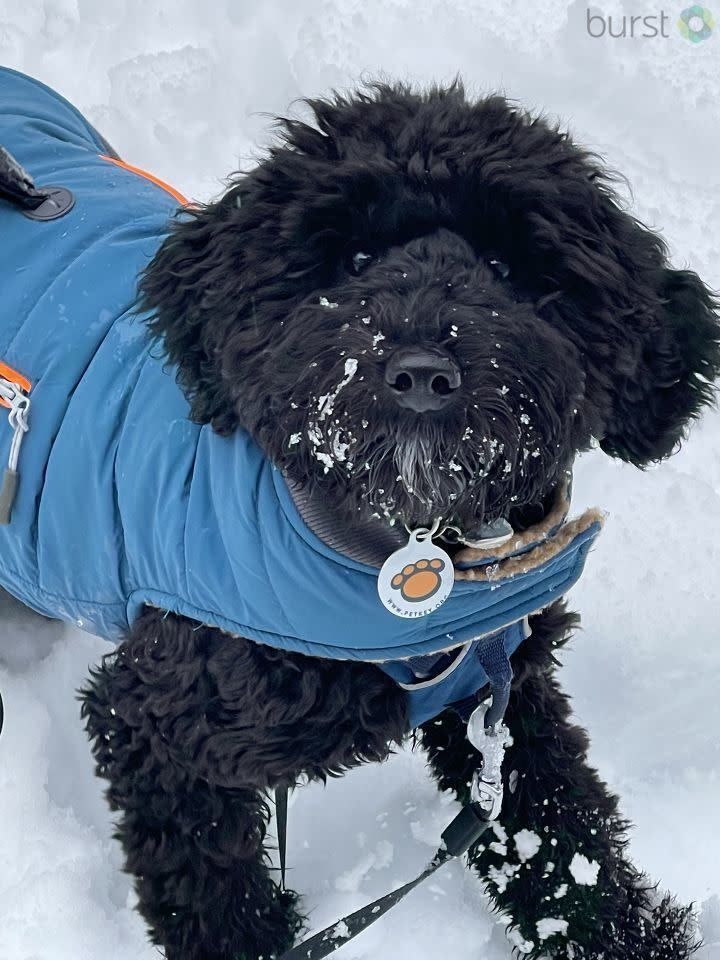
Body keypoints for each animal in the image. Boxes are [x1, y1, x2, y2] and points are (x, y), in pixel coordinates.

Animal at [76, 84, 716, 960]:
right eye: (352, 261)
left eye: (507, 269)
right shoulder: (154, 723)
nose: (420, 374)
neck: (408, 552)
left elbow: (560, 841)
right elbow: (213, 894)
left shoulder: (501, 695)